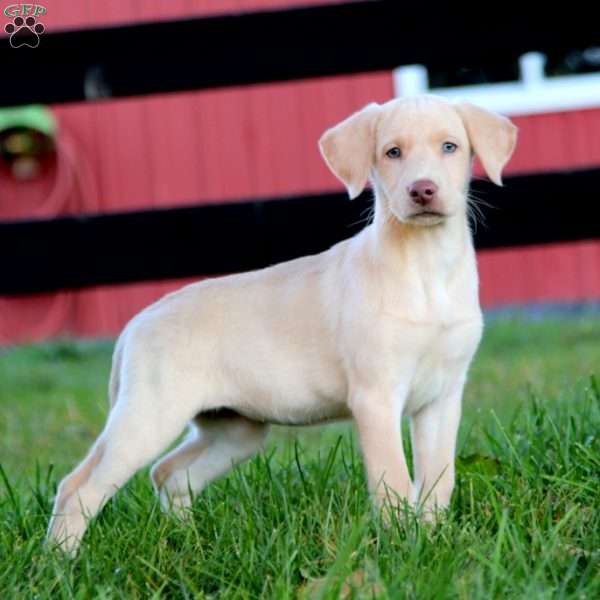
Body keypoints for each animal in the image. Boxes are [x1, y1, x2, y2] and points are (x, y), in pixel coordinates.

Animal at [47, 95, 516, 552]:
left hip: (235, 429)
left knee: (169, 473)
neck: (426, 265)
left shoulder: (442, 396)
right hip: (149, 416)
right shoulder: (376, 397)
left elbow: (438, 479)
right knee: (78, 487)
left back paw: (187, 542)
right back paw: (59, 562)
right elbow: (394, 484)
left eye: (450, 147)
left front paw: (437, 539)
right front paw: (403, 546)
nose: (422, 190)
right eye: (392, 152)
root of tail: (135, 324)